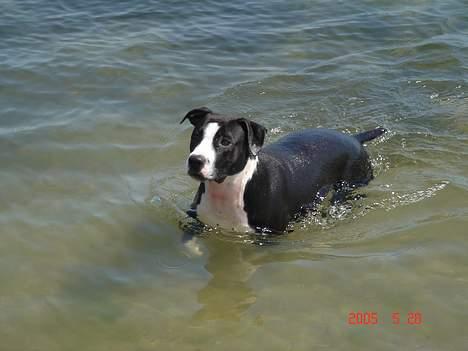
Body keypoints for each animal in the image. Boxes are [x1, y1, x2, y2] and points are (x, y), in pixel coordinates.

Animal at [181, 107, 386, 234]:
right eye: (197, 135)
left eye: (225, 142)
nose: (195, 160)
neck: (227, 189)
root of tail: (354, 138)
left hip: (352, 184)